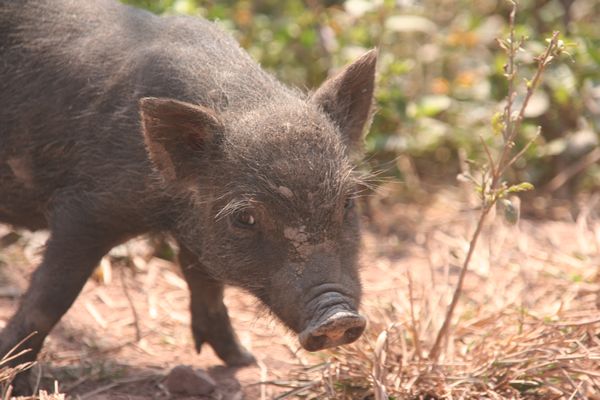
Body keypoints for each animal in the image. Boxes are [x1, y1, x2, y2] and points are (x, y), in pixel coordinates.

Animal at [0, 0, 376, 393]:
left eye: (347, 202)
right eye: (245, 217)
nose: (338, 317)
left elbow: (205, 282)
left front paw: (243, 360)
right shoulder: (85, 211)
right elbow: (52, 295)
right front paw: (16, 383)